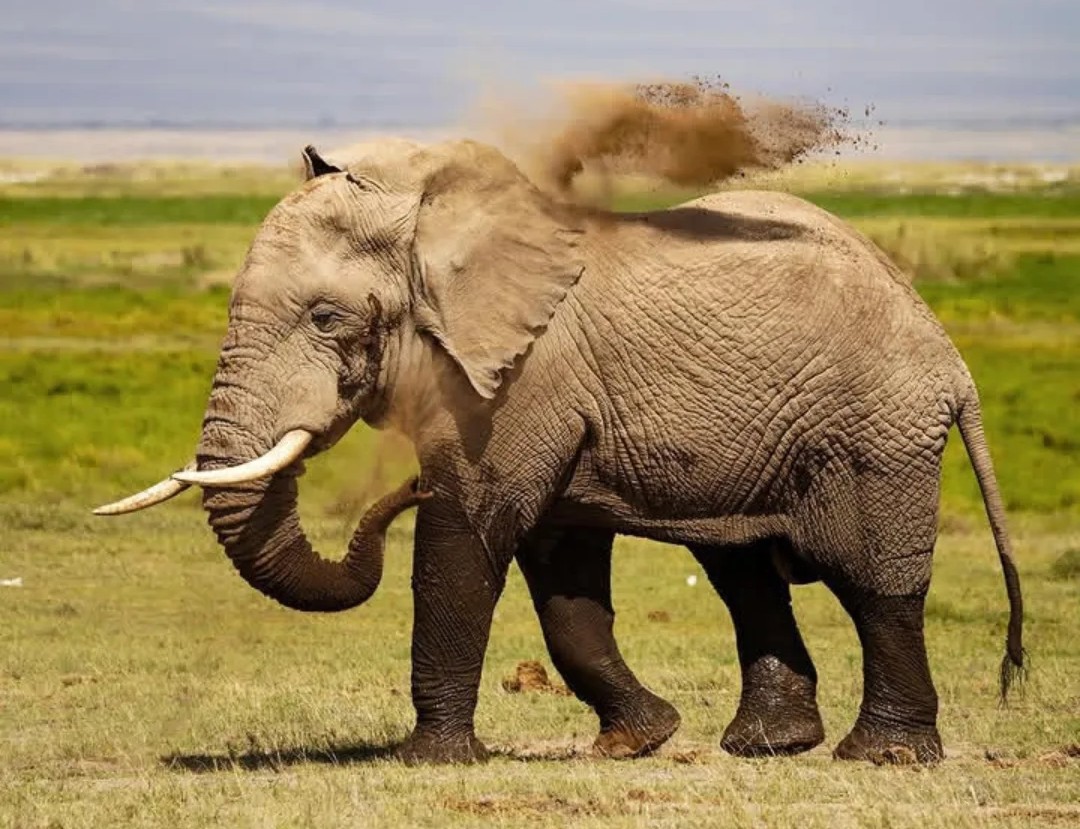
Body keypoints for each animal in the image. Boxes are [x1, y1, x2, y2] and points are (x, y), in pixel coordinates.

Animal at [96, 137, 1025, 765]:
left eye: (327, 319)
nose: (397, 491)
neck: (433, 205)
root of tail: (951, 358)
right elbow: (561, 578)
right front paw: (639, 742)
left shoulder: (520, 379)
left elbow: (465, 538)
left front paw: (428, 761)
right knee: (743, 570)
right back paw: (767, 746)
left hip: (875, 432)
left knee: (872, 580)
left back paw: (884, 755)